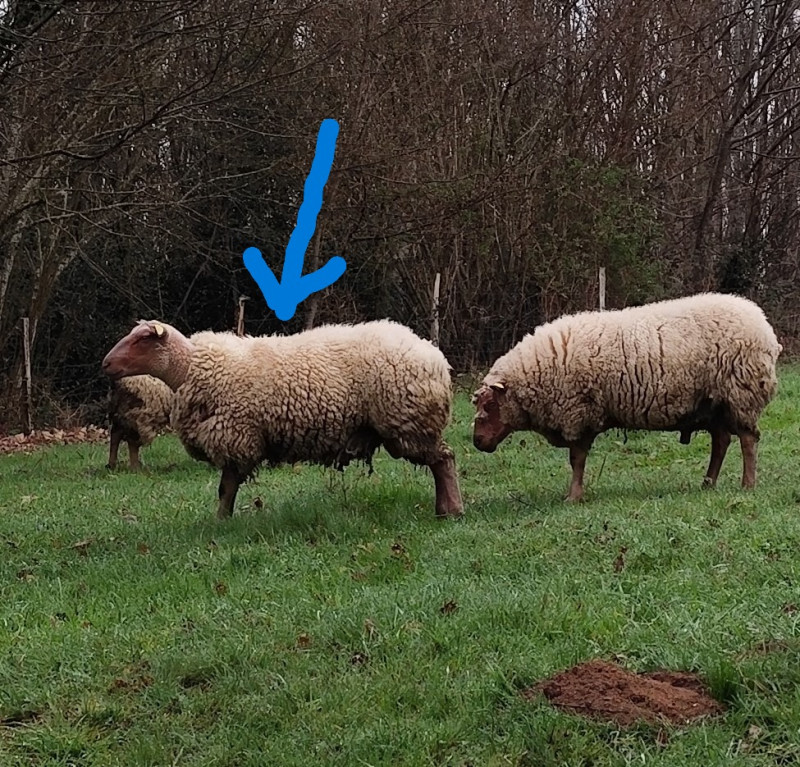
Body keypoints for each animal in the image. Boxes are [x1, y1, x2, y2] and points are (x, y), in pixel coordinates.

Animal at [101, 320, 464, 520]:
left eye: (142, 339)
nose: (105, 364)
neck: (190, 369)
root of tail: (434, 354)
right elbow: (226, 487)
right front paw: (222, 520)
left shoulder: (238, 436)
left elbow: (225, 488)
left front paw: (220, 521)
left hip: (409, 422)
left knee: (444, 460)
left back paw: (452, 510)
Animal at [472, 293, 781, 501]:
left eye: (490, 406)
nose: (476, 442)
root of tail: (764, 325)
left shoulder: (580, 412)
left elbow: (577, 460)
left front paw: (573, 496)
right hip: (713, 402)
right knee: (721, 441)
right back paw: (708, 483)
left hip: (739, 394)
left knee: (748, 440)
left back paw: (747, 484)